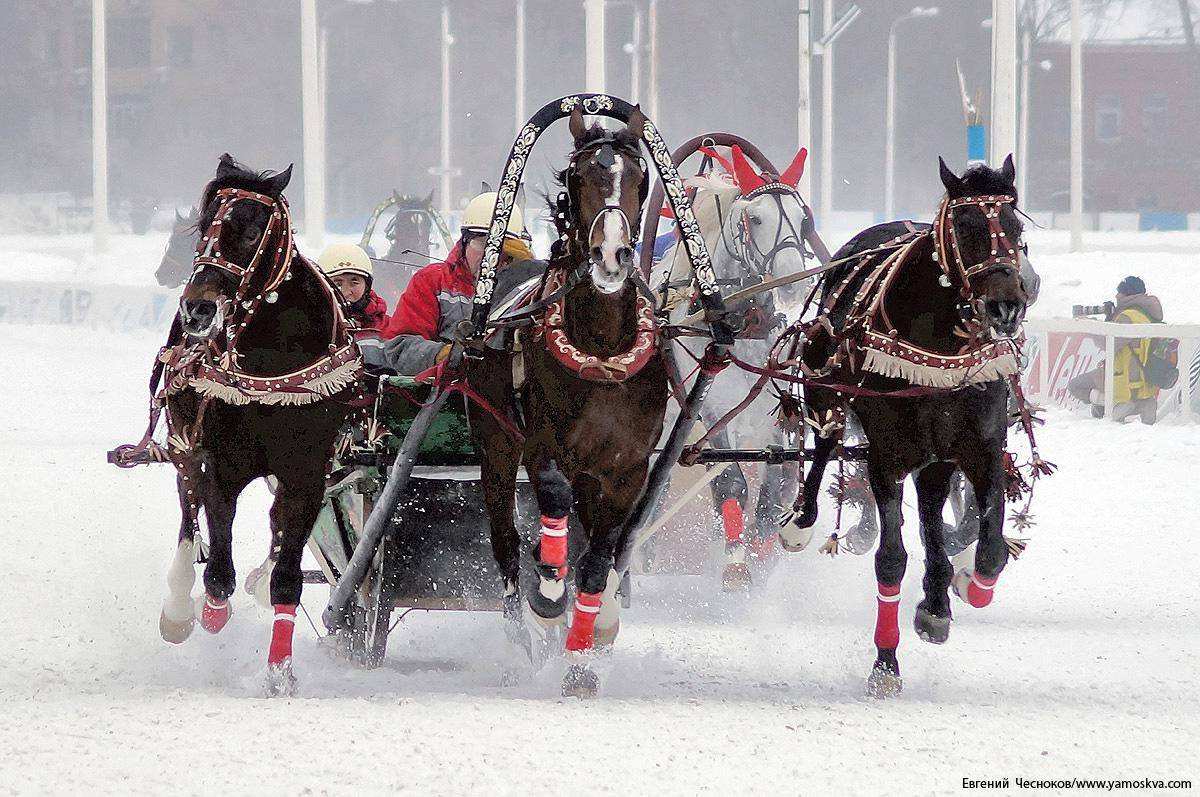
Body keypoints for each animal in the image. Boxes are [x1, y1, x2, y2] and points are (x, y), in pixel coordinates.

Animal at [157, 152, 357, 696]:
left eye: (251, 231)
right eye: (204, 226)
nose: (197, 308)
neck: (274, 359)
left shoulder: (307, 472)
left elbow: (287, 573)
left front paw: (280, 670)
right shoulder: (222, 464)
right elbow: (217, 564)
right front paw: (209, 611)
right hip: (185, 441)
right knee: (188, 509)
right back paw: (179, 606)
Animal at [465, 107, 662, 696]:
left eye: (640, 180)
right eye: (578, 179)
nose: (611, 255)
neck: (602, 351)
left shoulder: (626, 471)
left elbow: (597, 563)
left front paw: (581, 659)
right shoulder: (540, 443)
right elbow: (551, 496)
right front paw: (549, 593)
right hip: (495, 448)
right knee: (506, 544)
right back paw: (527, 627)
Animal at [787, 157, 1032, 696]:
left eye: (1015, 227)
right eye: (966, 227)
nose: (1005, 306)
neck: (939, 348)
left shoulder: (980, 449)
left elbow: (990, 550)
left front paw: (961, 588)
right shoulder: (887, 455)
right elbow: (891, 557)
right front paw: (885, 663)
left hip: (937, 455)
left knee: (932, 510)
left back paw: (938, 594)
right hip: (826, 388)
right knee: (824, 444)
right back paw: (800, 519)